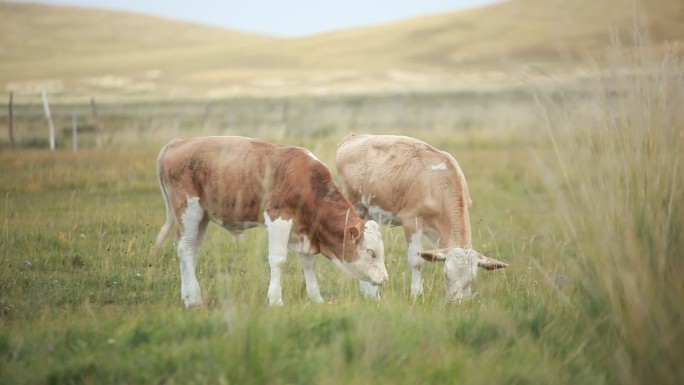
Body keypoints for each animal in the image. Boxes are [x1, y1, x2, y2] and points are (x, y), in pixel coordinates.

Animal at [157, 135, 388, 306]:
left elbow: (309, 264)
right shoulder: (279, 218)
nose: (385, 279)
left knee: (192, 250)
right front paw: (276, 299)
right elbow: (278, 260)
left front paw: (316, 299)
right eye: (371, 252)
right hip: (189, 210)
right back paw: (194, 299)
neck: (307, 183)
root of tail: (178, 142)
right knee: (185, 248)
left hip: (202, 217)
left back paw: (188, 295)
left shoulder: (305, 231)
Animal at [334, 133, 504, 300]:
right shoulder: (411, 221)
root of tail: (354, 137)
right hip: (354, 205)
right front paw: (416, 294)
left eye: (472, 279)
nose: (457, 302)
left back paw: (371, 293)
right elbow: (417, 261)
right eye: (446, 275)